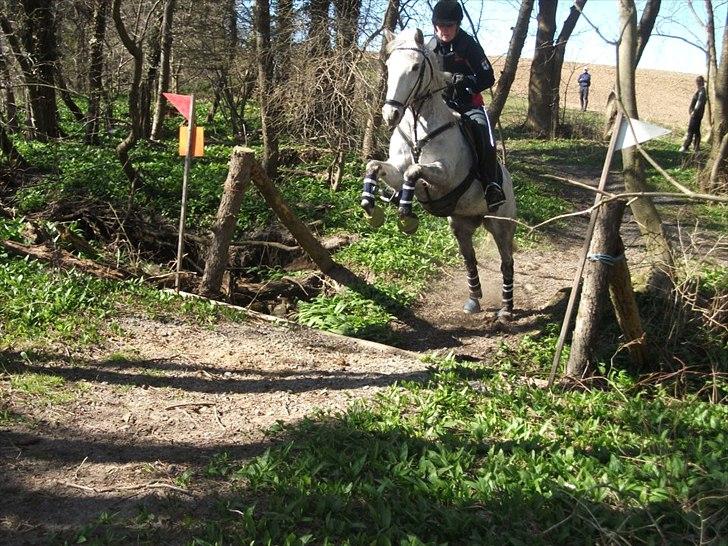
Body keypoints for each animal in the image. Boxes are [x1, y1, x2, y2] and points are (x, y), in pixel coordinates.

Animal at [362, 29, 516, 316]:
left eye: (415, 67)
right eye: (389, 65)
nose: (391, 115)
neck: (418, 127)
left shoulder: (445, 177)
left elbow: (414, 171)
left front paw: (406, 215)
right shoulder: (395, 168)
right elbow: (375, 166)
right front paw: (371, 207)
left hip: (501, 224)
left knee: (507, 261)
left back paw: (506, 307)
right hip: (461, 225)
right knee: (469, 258)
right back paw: (474, 299)